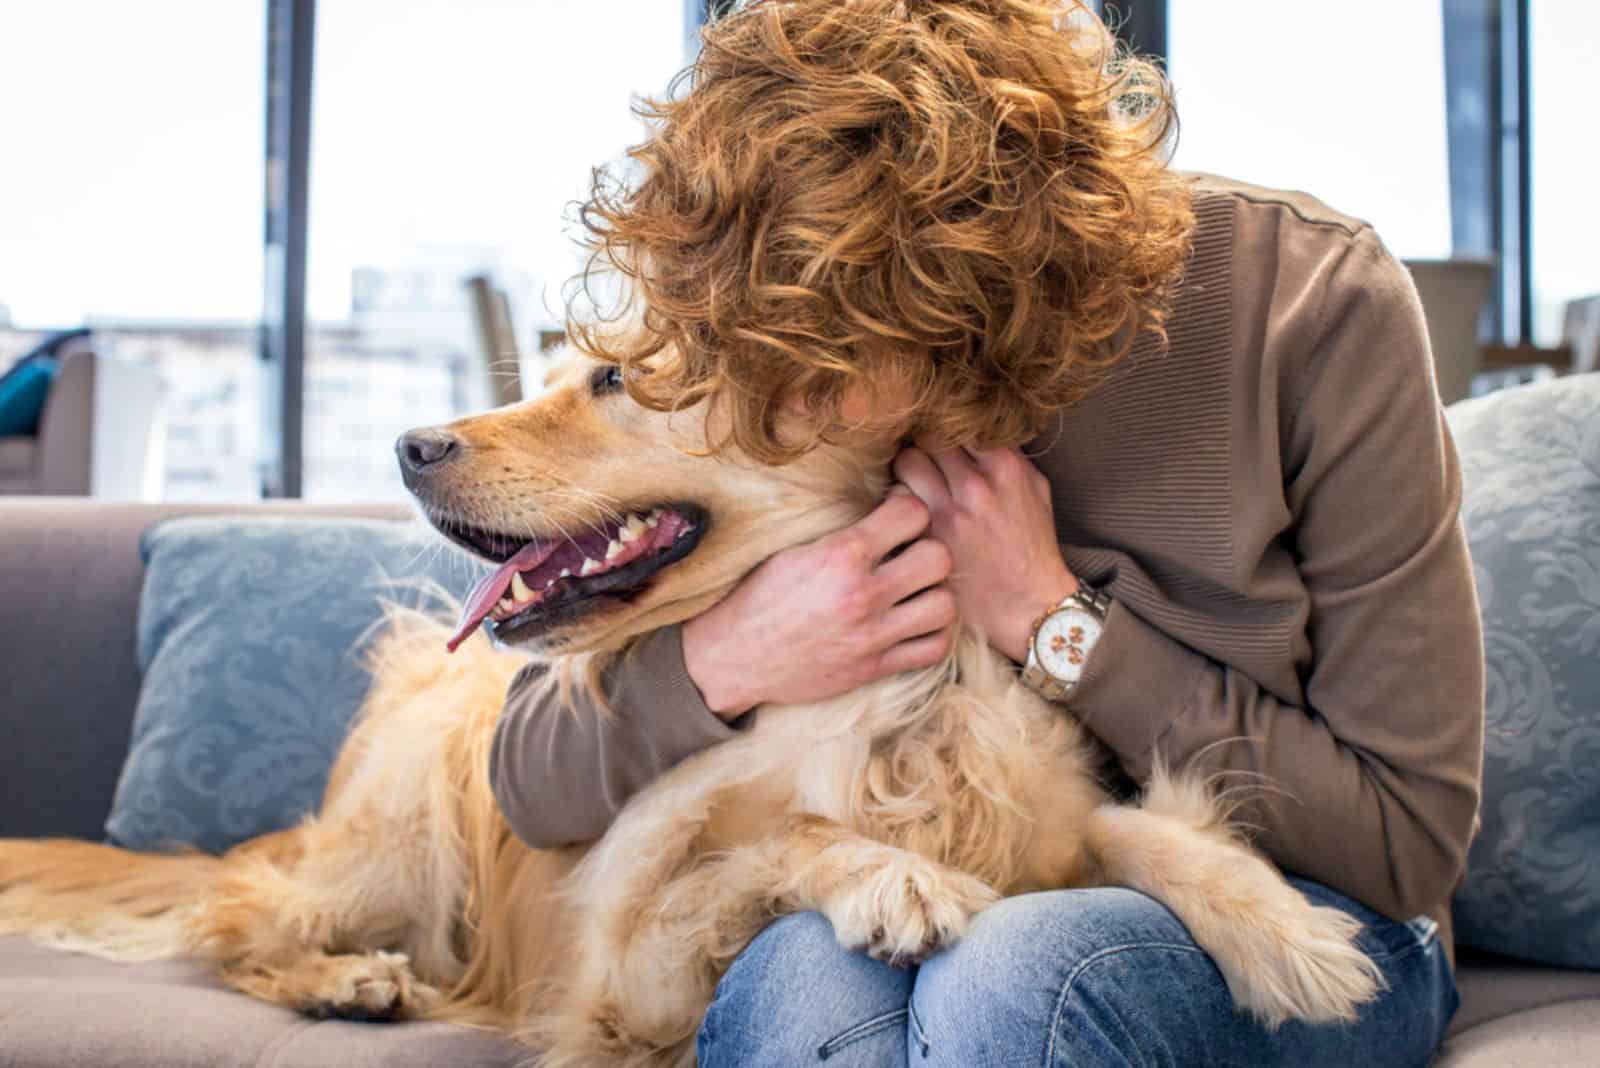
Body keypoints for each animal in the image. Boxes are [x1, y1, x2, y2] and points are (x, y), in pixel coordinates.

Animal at [0, 350, 1382, 1068]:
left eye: (616, 376)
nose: (408, 445)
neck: (850, 701)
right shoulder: (626, 970)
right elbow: (785, 837)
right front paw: (891, 875)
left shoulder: (1044, 813)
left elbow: (1132, 828)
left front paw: (1283, 931)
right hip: (410, 818)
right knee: (235, 916)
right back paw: (347, 982)